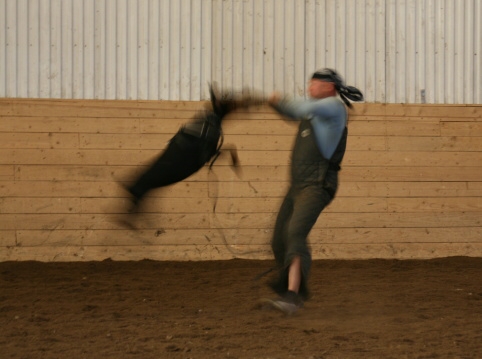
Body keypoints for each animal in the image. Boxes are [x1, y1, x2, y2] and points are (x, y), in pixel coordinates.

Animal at [117, 86, 256, 229]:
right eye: (231, 98)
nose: (250, 96)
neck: (210, 121)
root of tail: (130, 187)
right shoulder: (209, 155)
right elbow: (228, 149)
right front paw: (236, 166)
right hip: (141, 195)